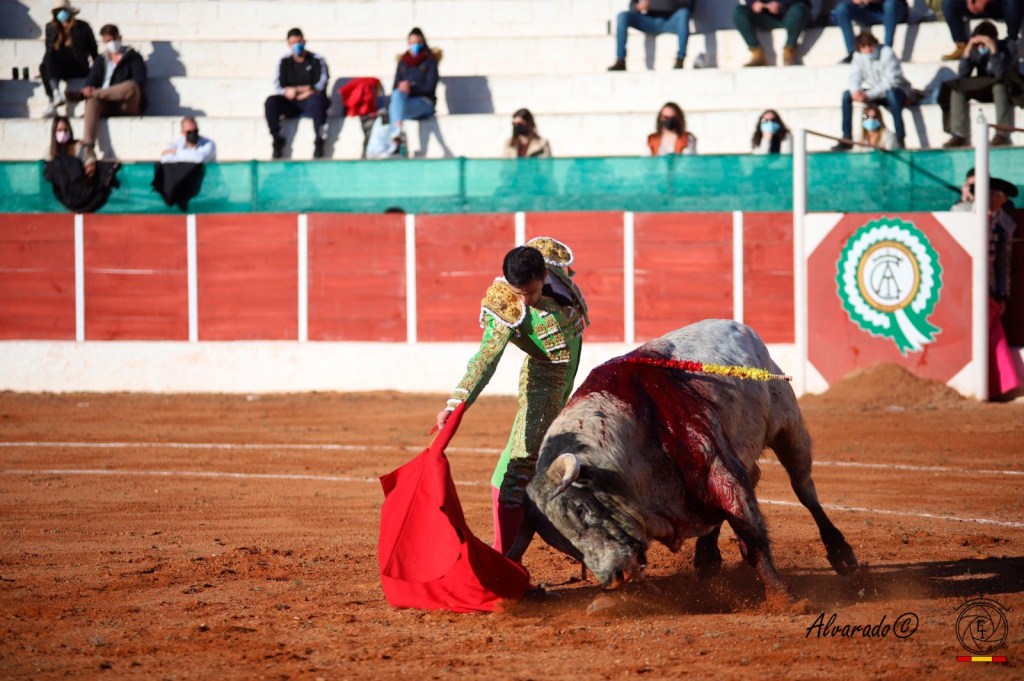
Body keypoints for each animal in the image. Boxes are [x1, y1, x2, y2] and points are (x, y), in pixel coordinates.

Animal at [507, 319, 858, 607]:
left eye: (582, 510)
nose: (614, 578)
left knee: (804, 489)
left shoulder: (718, 466)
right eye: (566, 544)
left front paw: (782, 598)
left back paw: (841, 554)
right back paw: (706, 557)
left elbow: (752, 534)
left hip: (788, 425)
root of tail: (742, 328)